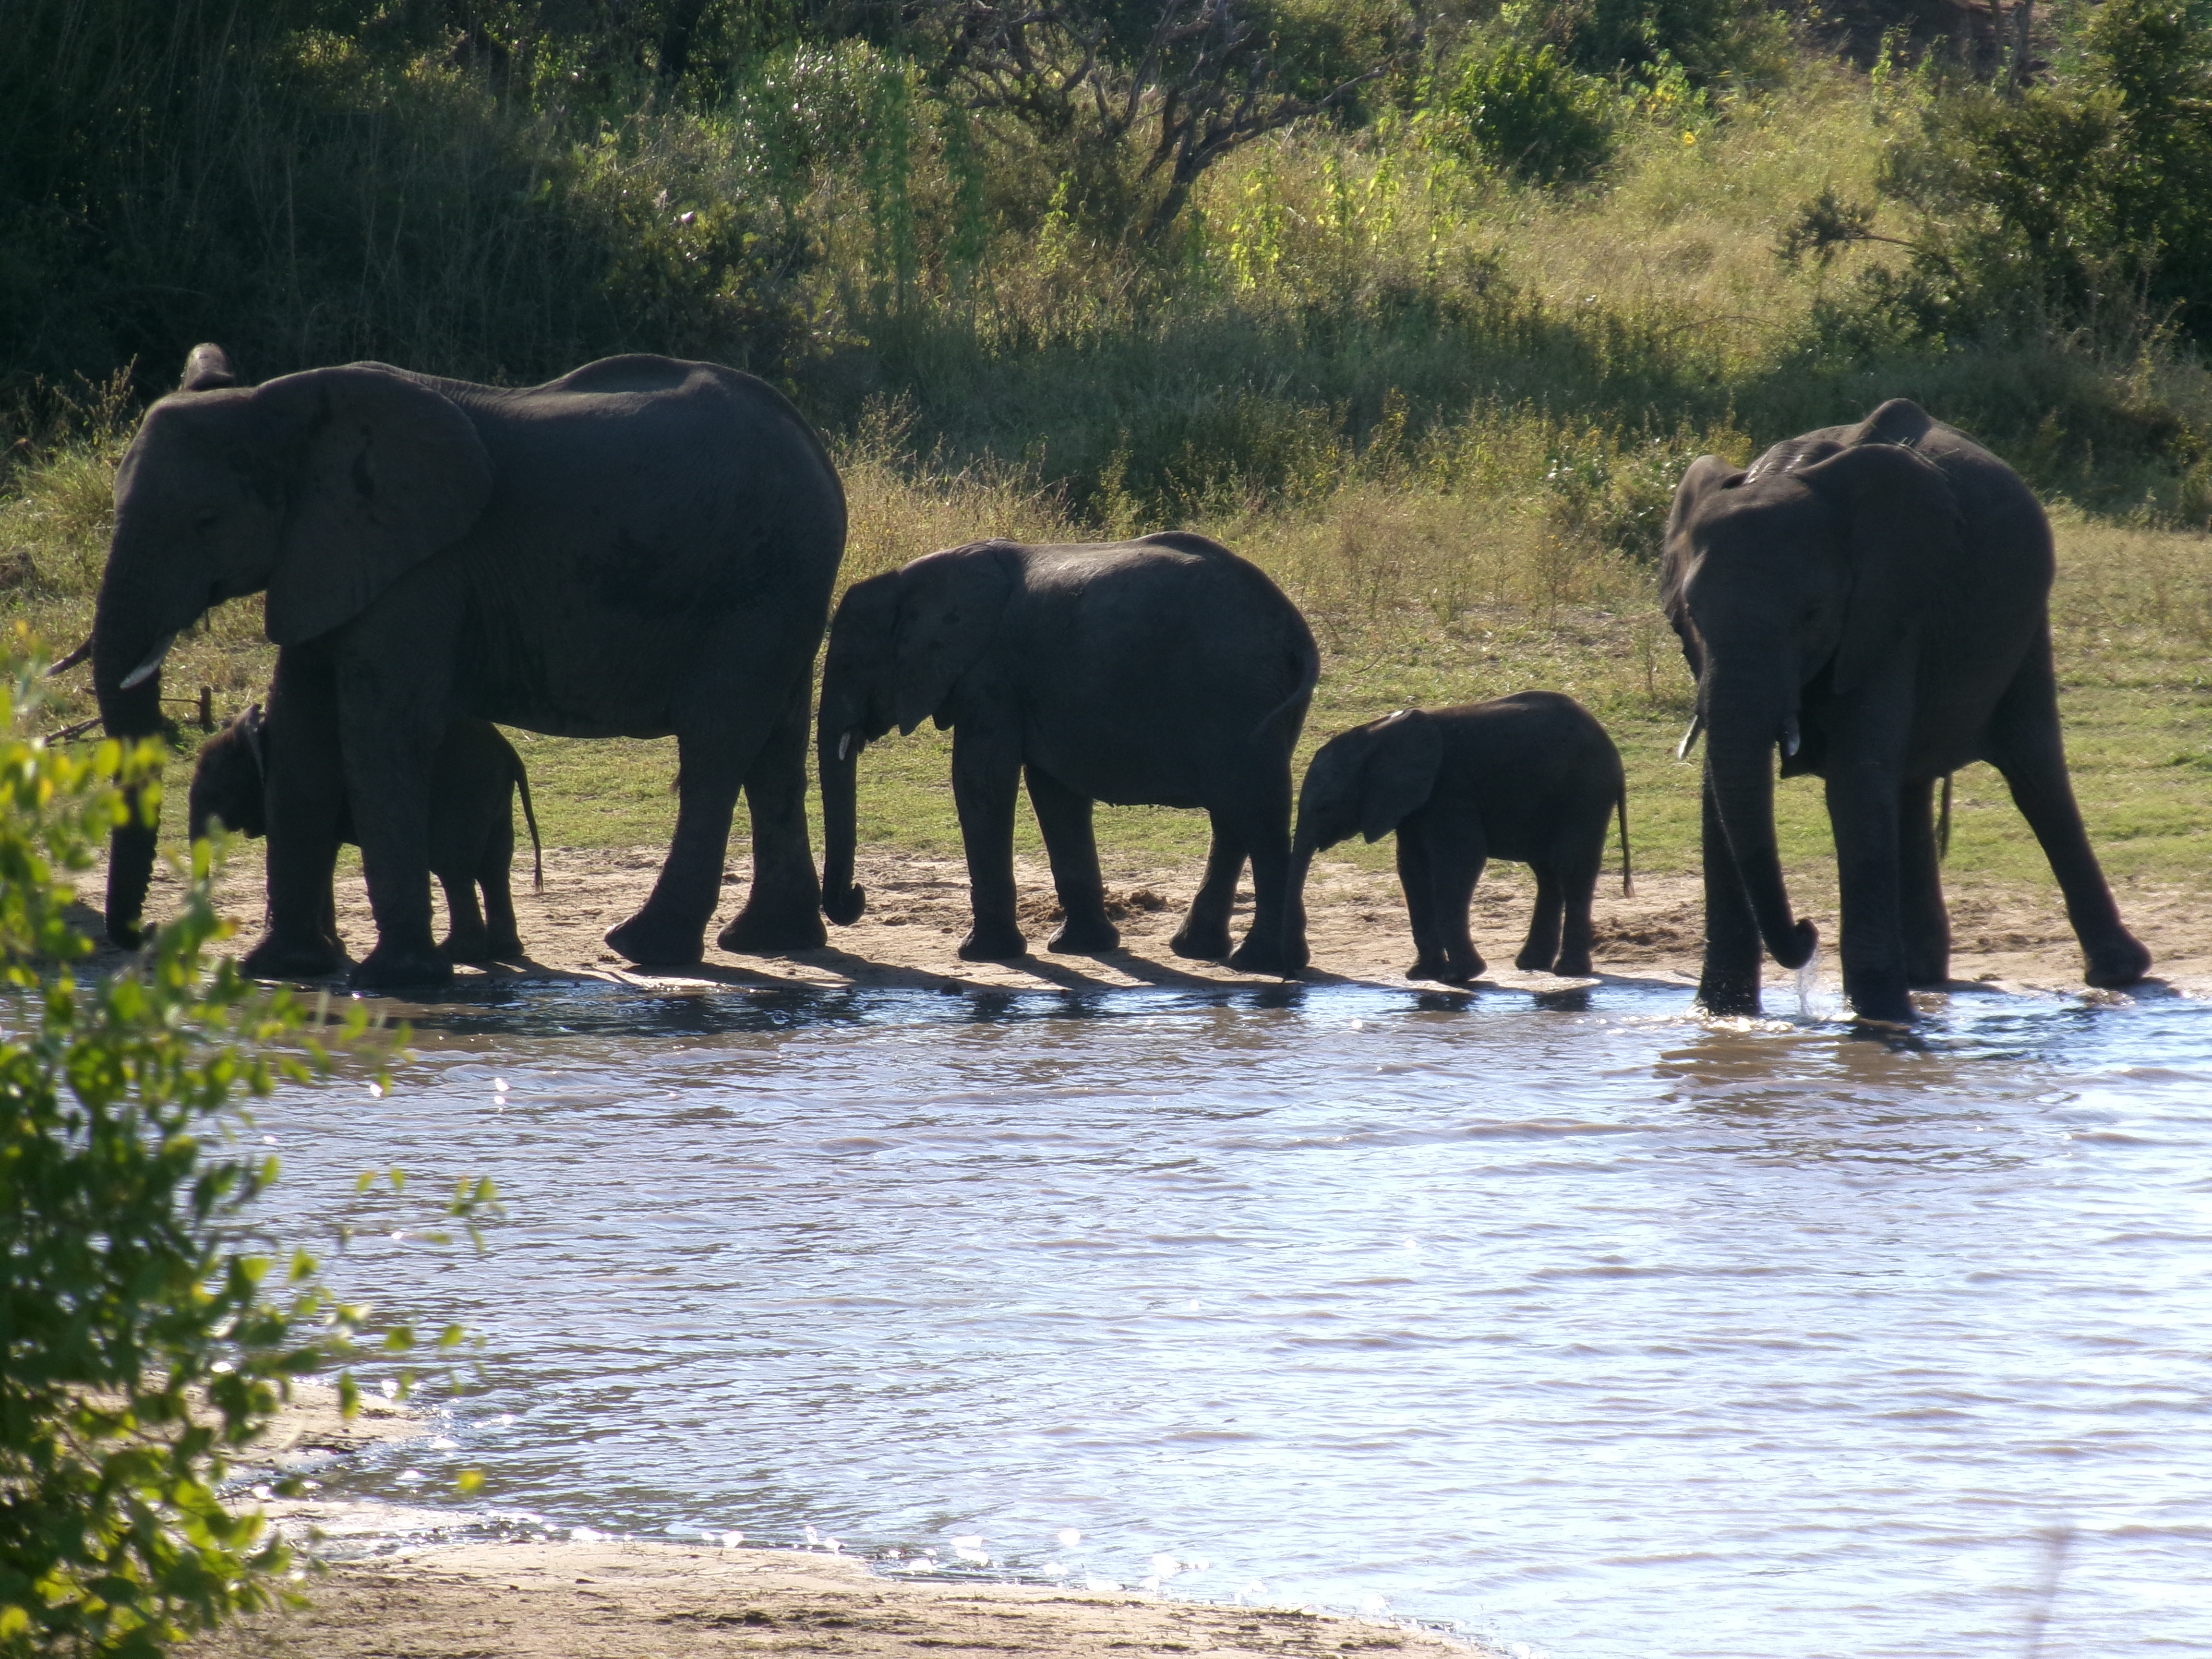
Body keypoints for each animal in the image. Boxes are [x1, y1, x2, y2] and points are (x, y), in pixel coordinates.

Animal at [189, 705, 543, 964]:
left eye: (218, 791)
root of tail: (509, 750)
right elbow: (325, 855)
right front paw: (336, 950)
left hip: (463, 787)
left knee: (452, 868)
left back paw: (458, 954)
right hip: (491, 789)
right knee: (494, 868)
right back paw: (504, 952)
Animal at [817, 533, 1320, 974]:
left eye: (848, 663)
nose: (856, 897)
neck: (909, 581)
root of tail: (1296, 628)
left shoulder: (992, 675)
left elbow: (981, 780)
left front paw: (983, 956)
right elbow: (1055, 794)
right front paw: (1081, 948)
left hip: (1237, 693)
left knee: (1257, 814)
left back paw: (1261, 963)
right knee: (1235, 816)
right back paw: (1201, 952)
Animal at [1292, 693, 1631, 985]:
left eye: (1325, 806)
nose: (1297, 965)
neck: (1377, 733)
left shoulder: (1449, 789)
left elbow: (1458, 863)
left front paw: (1459, 977)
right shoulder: (1412, 802)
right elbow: (1412, 869)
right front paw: (1421, 975)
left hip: (1586, 789)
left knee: (1570, 865)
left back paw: (1568, 971)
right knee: (1547, 871)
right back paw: (1531, 964)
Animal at [1661, 396, 2150, 1023]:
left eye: (1813, 615)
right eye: (1690, 616)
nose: (1807, 929)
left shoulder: (1888, 611)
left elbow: (1854, 783)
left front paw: (1878, 1017)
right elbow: (1717, 799)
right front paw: (1722, 1018)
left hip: (2024, 623)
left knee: (2033, 770)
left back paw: (2119, 974)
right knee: (1911, 783)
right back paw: (1922, 974)